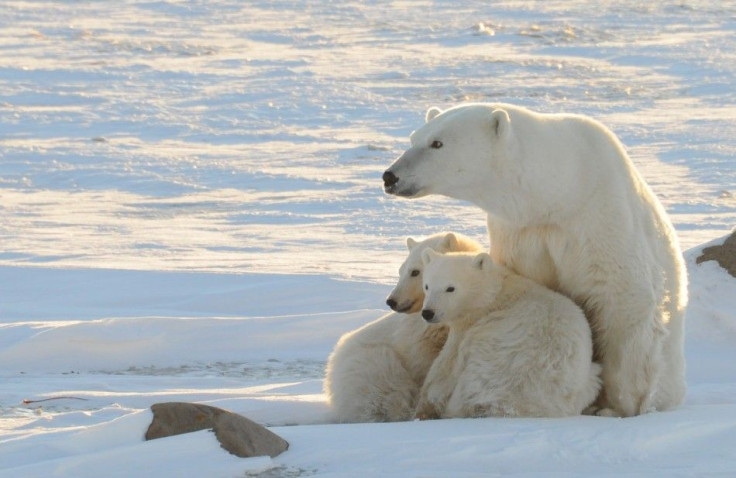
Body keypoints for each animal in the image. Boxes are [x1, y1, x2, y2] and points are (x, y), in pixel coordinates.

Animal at [416, 250, 600, 418]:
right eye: (427, 286)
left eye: (450, 288)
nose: (428, 313)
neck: (496, 291)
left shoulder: (472, 323)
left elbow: (446, 364)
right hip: (584, 384)